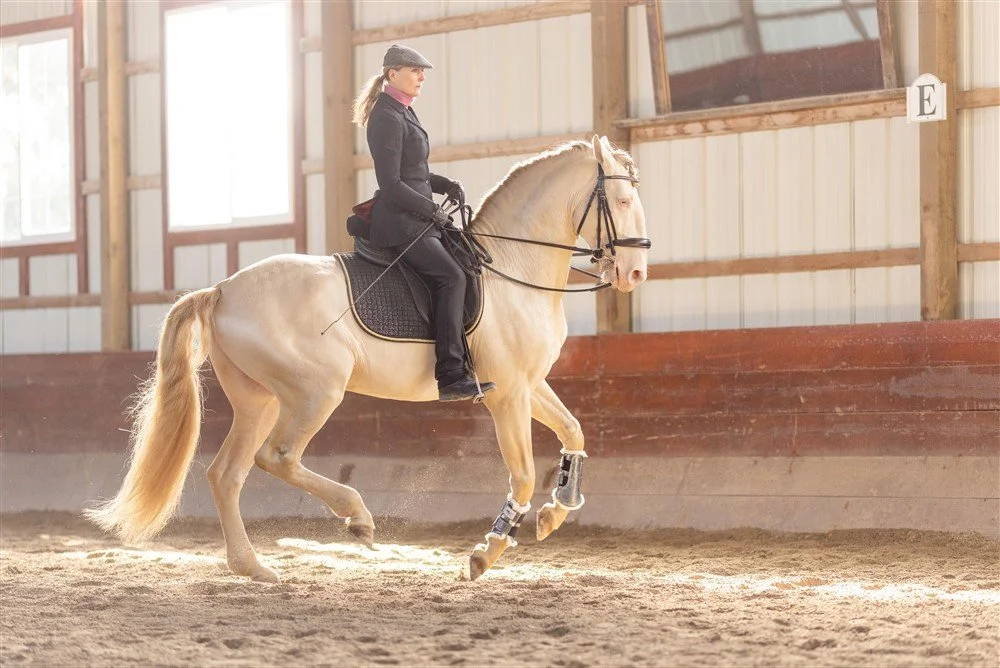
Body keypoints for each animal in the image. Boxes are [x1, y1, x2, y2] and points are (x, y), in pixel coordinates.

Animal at [85, 135, 650, 581]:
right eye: (622, 199)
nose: (636, 274)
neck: (512, 268)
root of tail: (222, 289)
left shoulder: (529, 385)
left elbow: (574, 429)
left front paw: (558, 510)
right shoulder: (507, 394)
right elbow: (525, 473)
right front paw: (486, 551)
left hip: (259, 400)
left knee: (228, 474)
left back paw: (254, 568)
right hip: (317, 391)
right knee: (278, 457)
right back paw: (356, 517)